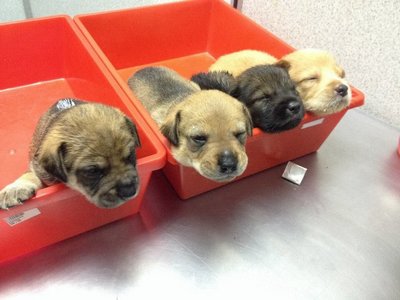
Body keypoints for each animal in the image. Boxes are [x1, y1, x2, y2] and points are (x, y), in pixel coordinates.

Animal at [0, 98, 141, 209]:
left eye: (130, 155)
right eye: (92, 171)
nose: (130, 191)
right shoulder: (38, 169)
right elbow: (29, 175)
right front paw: (14, 189)